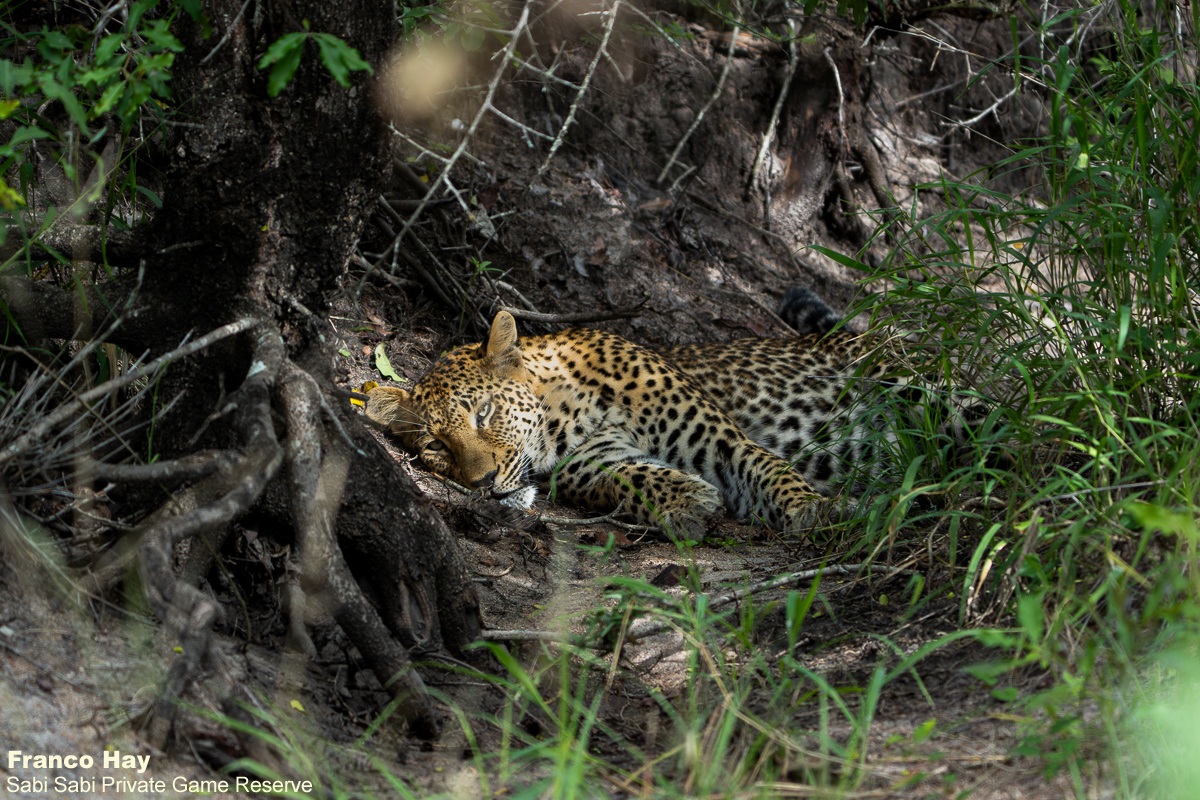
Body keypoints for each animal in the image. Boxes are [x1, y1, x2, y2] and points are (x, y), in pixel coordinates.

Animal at [363, 291, 918, 540]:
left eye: (484, 412)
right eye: (436, 446)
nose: (480, 484)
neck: (565, 408)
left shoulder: (719, 438)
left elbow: (767, 468)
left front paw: (812, 509)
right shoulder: (596, 462)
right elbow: (632, 478)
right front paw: (688, 500)